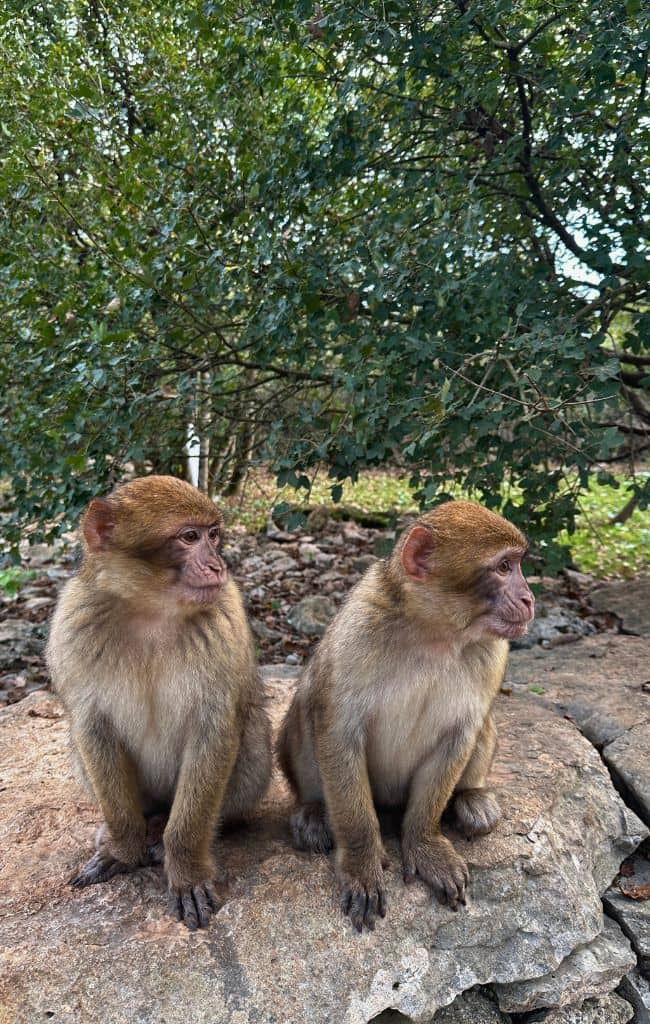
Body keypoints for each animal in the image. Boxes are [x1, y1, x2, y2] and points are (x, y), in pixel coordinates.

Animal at [46, 475, 272, 930]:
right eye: (189, 537)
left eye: (214, 535)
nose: (218, 566)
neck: (151, 609)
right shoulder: (72, 625)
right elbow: (91, 728)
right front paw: (122, 846)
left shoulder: (225, 619)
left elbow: (214, 731)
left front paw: (185, 868)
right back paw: (145, 827)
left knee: (252, 733)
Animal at [278, 500, 534, 933]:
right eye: (503, 567)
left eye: (517, 564)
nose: (530, 598)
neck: (436, 632)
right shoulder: (359, 630)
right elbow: (338, 729)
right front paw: (361, 860)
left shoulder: (494, 652)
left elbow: (459, 734)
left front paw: (424, 843)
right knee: (307, 705)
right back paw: (313, 811)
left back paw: (471, 797)